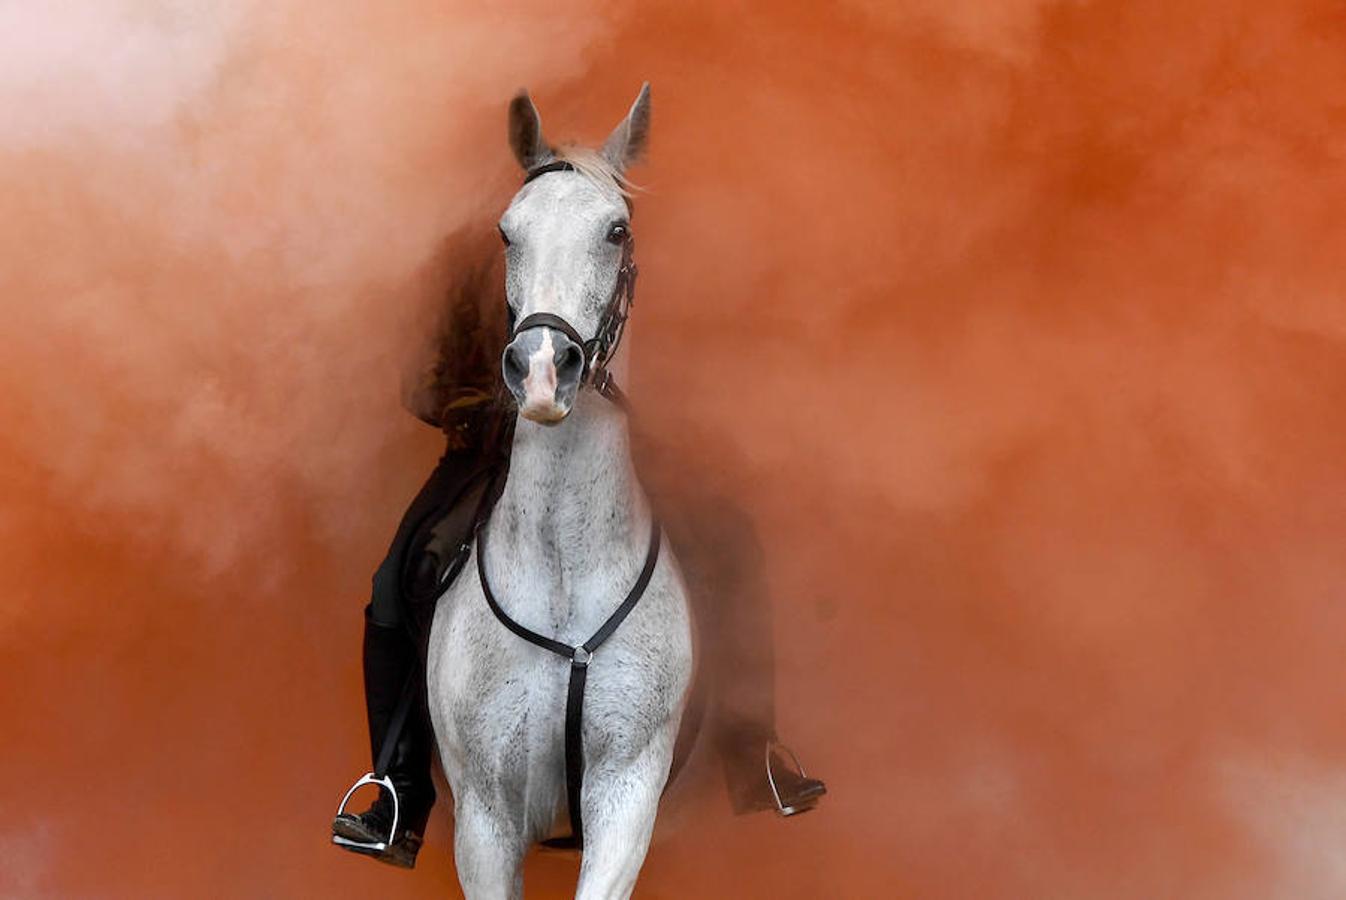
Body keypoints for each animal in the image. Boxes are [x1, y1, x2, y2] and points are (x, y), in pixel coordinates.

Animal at [426, 84, 695, 900]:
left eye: (616, 231)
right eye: (507, 233)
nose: (543, 369)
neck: (564, 570)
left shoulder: (627, 793)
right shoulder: (485, 820)